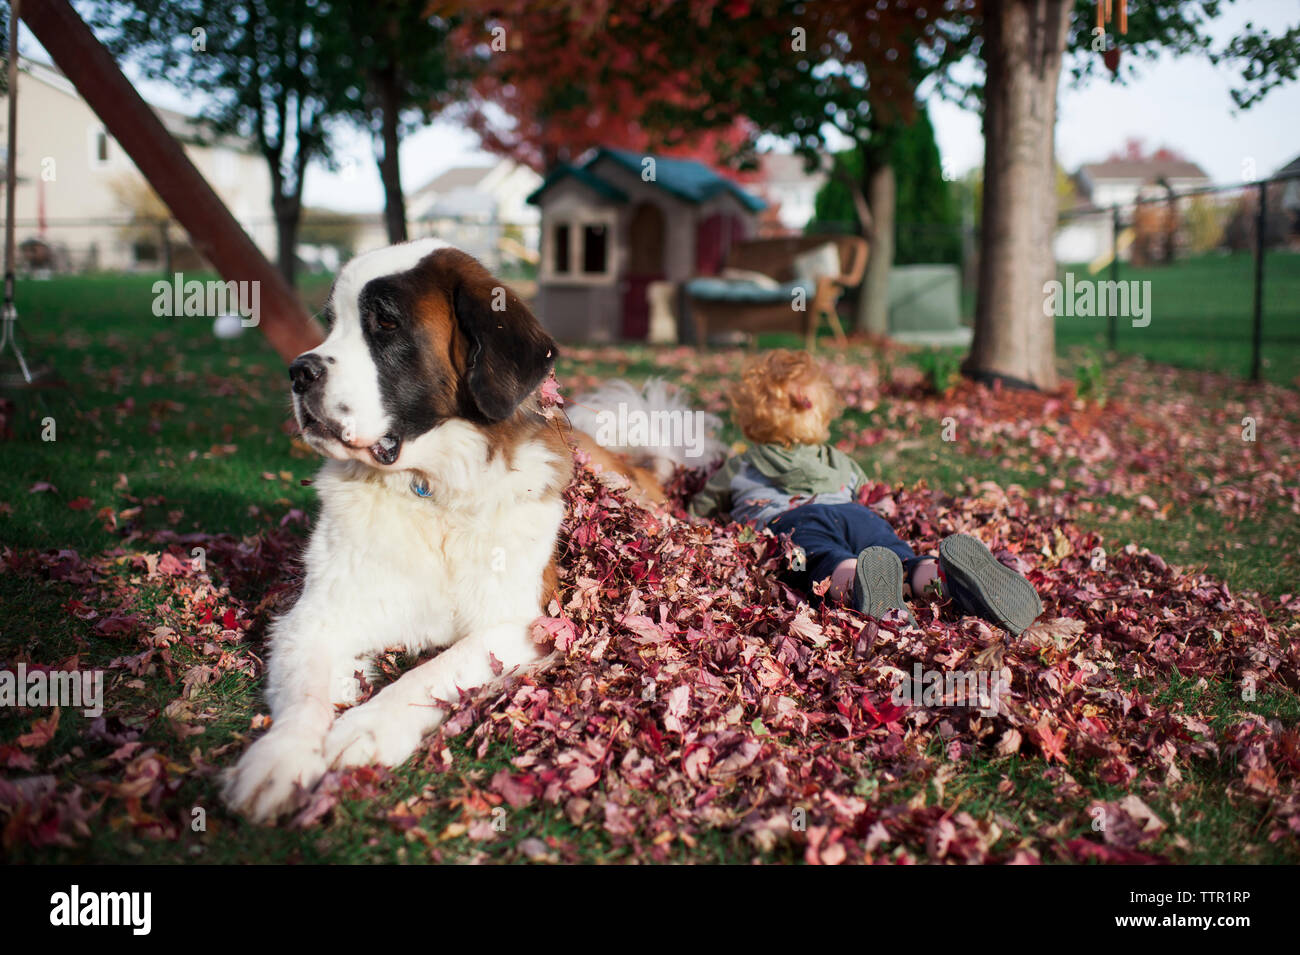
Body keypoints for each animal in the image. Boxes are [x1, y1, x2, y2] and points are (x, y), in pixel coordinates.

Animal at [223, 237, 670, 821]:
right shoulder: (313, 617)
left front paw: (366, 728)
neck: (432, 489)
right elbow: (305, 691)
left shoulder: (525, 623)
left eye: (385, 324)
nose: (299, 372)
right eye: (332, 322)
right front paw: (279, 758)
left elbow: (437, 669)